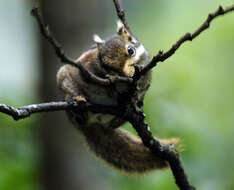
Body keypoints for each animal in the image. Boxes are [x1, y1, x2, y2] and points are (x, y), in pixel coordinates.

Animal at [56, 20, 179, 174]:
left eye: (131, 50)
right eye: (106, 65)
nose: (127, 75)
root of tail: (92, 123)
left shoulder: (145, 81)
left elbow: (138, 90)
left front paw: (131, 99)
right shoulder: (81, 68)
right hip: (64, 78)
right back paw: (77, 106)